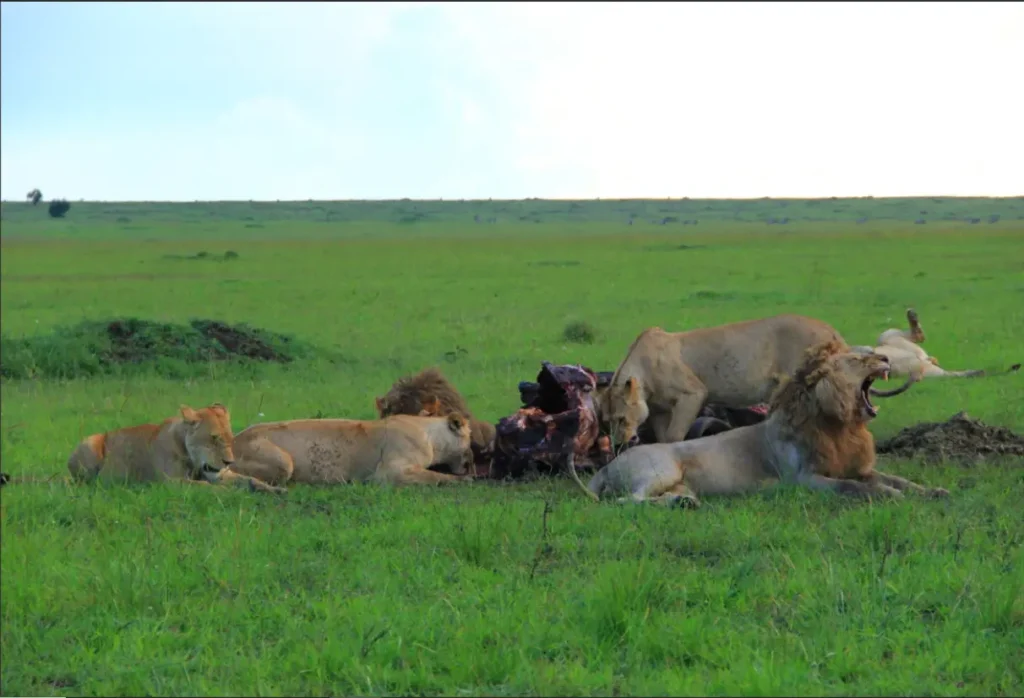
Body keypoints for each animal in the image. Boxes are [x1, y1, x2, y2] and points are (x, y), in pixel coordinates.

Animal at [65, 403, 279, 492]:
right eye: (213, 438)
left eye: (230, 439)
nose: (229, 462)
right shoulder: (170, 482)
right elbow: (207, 486)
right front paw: (232, 492)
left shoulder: (219, 474)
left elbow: (249, 479)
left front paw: (274, 490)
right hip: (90, 443)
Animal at [213, 413, 474, 490]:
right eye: (470, 437)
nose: (471, 459)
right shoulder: (389, 472)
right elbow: (435, 476)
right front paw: (465, 479)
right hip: (283, 462)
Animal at [579, 340, 946, 506]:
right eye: (857, 359)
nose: (885, 358)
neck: (840, 427)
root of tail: (606, 466)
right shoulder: (804, 479)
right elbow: (857, 488)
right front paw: (890, 496)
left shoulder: (858, 466)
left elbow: (899, 480)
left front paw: (934, 491)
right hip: (661, 469)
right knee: (628, 501)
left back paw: (683, 502)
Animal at [599, 314, 915, 447]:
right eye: (606, 422)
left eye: (620, 418)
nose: (618, 443)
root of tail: (830, 329)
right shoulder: (661, 409)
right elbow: (663, 436)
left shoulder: (693, 394)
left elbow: (675, 436)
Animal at [851, 308, 1020, 380]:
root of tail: (925, 359)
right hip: (926, 371)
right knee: (951, 375)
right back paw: (977, 372)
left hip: (889, 338)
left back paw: (912, 317)